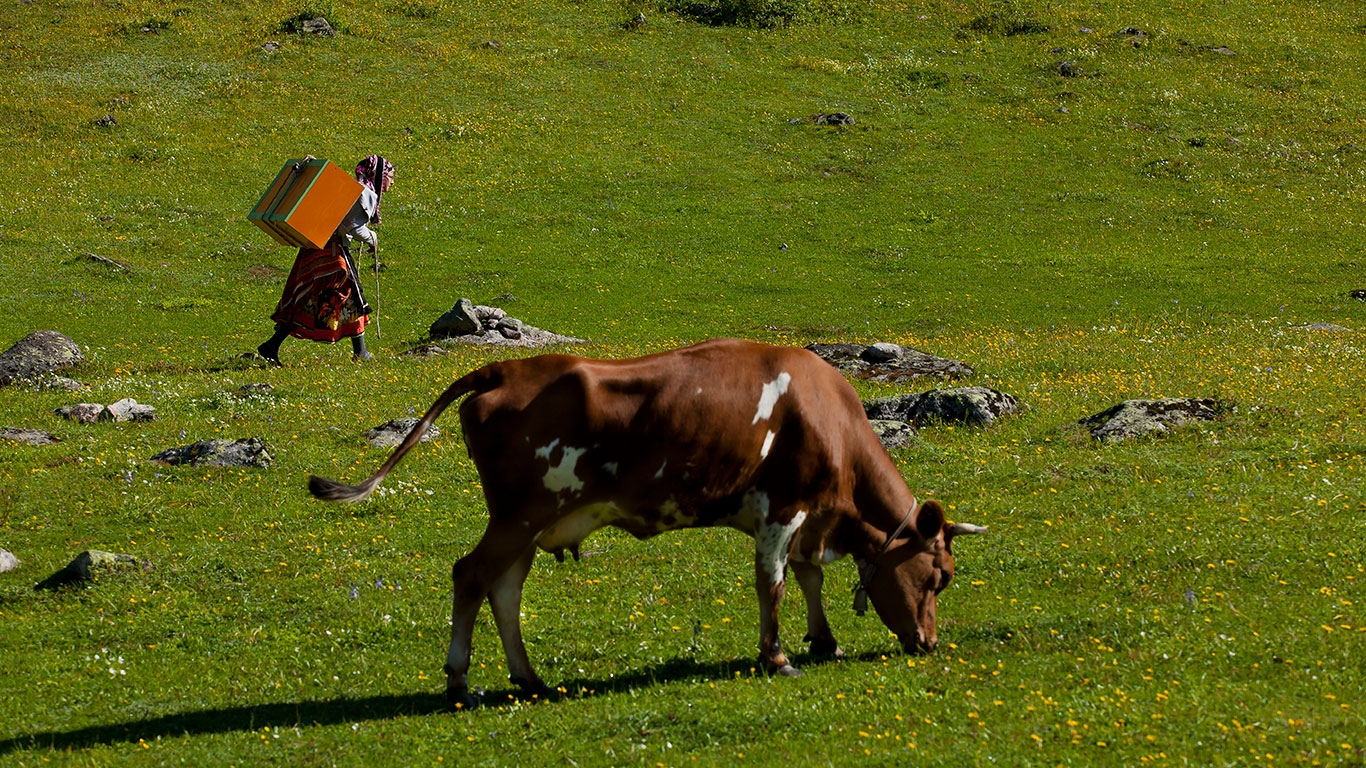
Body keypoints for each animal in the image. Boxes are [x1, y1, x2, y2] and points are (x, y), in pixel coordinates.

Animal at [312, 337, 983, 710]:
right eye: (941, 576)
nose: (928, 643)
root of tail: (505, 368)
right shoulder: (781, 507)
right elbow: (773, 582)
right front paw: (777, 656)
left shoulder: (808, 517)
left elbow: (808, 576)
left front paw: (823, 640)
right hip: (520, 513)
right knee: (471, 575)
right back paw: (459, 682)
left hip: (528, 522)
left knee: (504, 588)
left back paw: (529, 679)